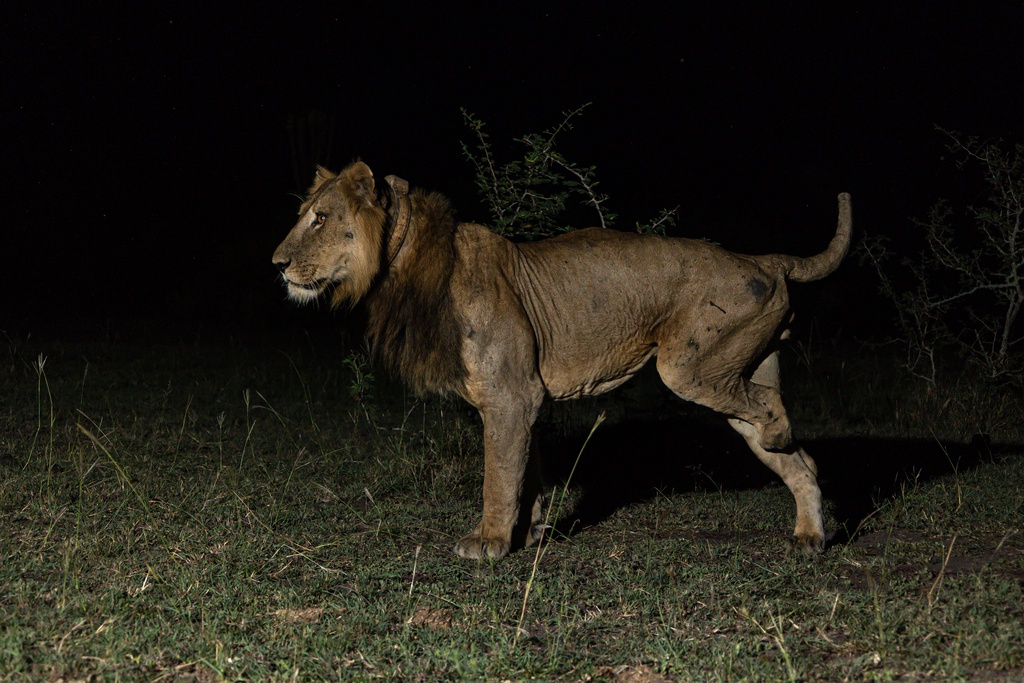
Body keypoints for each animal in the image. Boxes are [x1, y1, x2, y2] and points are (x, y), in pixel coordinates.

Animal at [270, 161, 847, 561]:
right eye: (303, 216)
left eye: (320, 219)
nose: (276, 264)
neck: (403, 266)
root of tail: (761, 259)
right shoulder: (523, 399)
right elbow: (527, 472)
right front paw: (529, 532)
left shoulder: (510, 396)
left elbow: (498, 476)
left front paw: (489, 542)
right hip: (733, 371)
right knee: (796, 458)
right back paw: (808, 535)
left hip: (690, 367)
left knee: (770, 409)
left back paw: (783, 441)